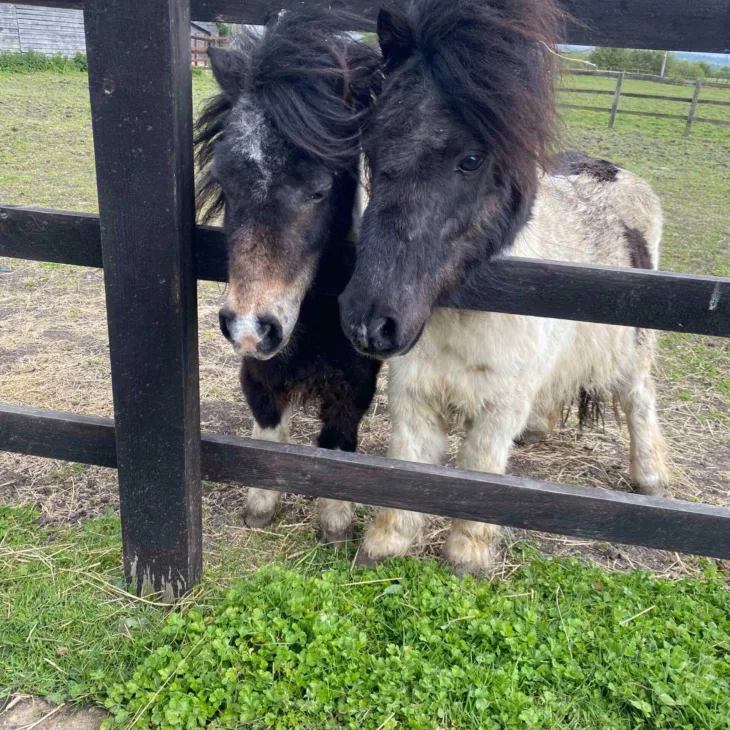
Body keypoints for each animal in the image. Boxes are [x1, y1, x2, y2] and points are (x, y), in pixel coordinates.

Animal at [195, 11, 382, 545]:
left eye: (319, 190)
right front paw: (260, 508)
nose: (249, 328)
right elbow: (267, 430)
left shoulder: (356, 384)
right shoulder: (258, 372)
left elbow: (339, 442)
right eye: (224, 180)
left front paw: (335, 524)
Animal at [338, 0, 669, 575]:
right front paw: (386, 543)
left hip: (630, 346)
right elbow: (407, 466)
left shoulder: (498, 410)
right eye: (371, 148)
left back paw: (648, 476)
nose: (369, 323)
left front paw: (467, 555)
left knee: (638, 397)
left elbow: (480, 472)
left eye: (471, 160)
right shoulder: (414, 396)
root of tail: (619, 174)